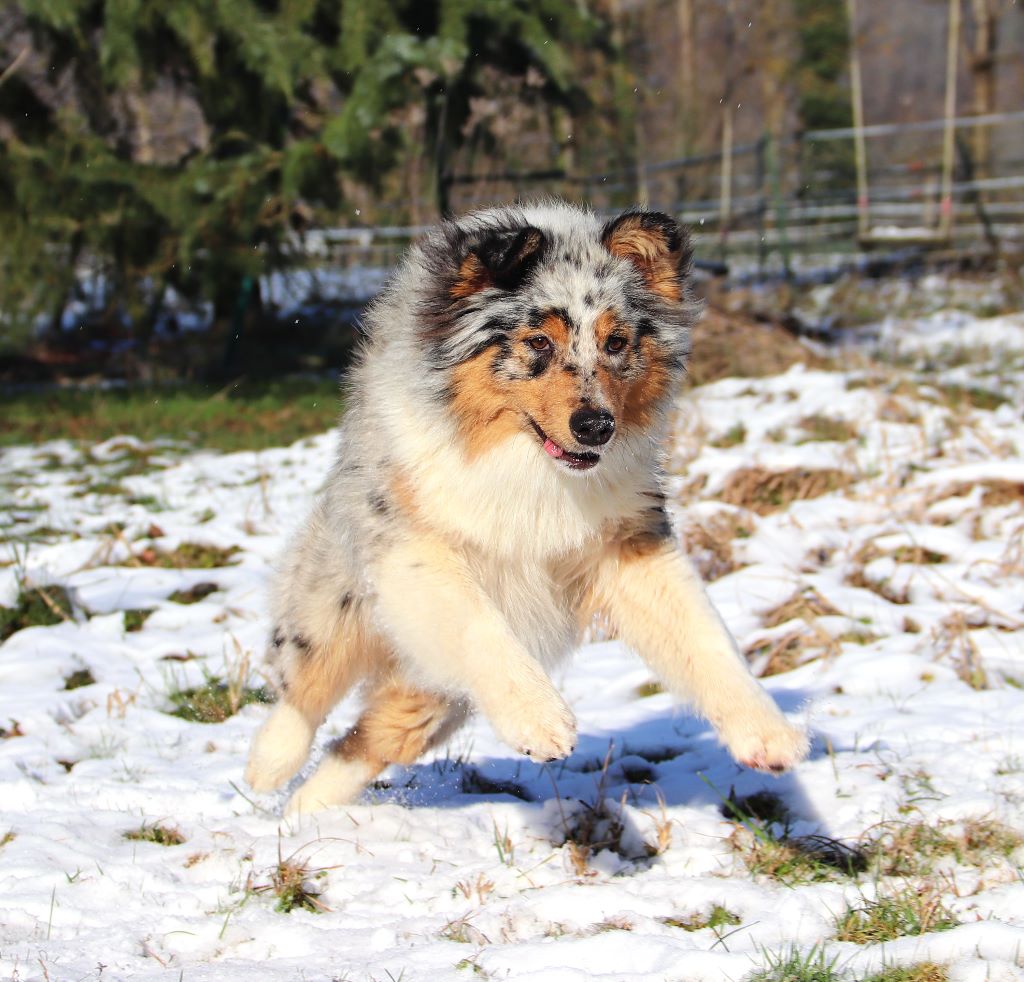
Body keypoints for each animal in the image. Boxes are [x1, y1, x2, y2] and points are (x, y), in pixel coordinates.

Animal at [245, 199, 806, 815]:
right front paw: (542, 720)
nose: (596, 426)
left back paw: (305, 816)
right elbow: (479, 626)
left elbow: (705, 639)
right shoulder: (413, 550)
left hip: (435, 694)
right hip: (339, 599)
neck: (532, 471)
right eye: (538, 342)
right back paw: (268, 766)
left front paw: (767, 734)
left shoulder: (628, 548)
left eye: (615, 342)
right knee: (305, 681)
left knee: (370, 739)